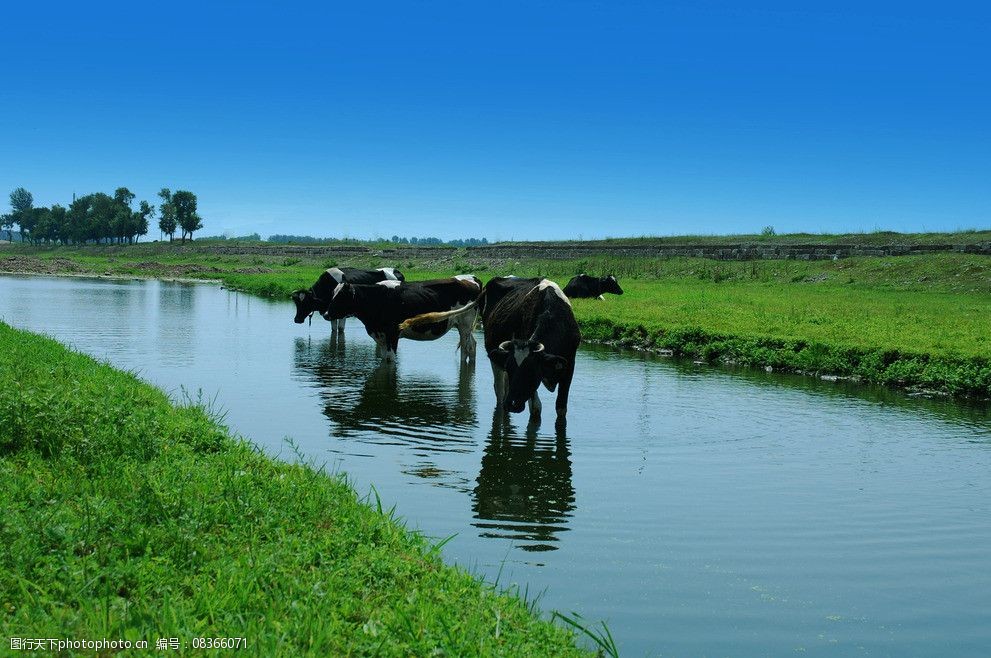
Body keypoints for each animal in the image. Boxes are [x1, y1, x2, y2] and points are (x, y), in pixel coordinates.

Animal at [324, 274, 482, 362]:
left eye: (341, 297)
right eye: (332, 293)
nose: (326, 314)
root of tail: (471, 279)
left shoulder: (392, 334)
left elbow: (390, 360)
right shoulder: (380, 336)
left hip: (465, 324)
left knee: (466, 348)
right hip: (464, 326)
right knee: (472, 346)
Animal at [402, 276, 580, 426]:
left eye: (531, 370)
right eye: (511, 368)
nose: (512, 404)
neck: (552, 314)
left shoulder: (569, 366)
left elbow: (561, 409)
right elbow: (536, 409)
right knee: (500, 391)